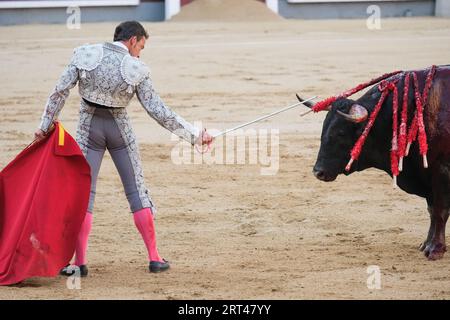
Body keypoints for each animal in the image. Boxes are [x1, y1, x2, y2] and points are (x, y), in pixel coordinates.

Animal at [298, 66, 448, 262]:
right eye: (324, 128)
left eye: (340, 133)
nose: (318, 172)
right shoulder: (426, 173)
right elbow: (431, 210)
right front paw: (426, 244)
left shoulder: (440, 170)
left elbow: (439, 211)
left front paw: (435, 249)